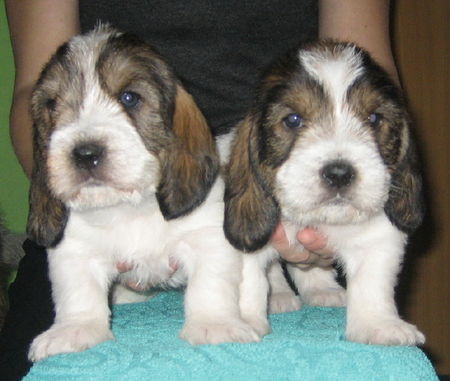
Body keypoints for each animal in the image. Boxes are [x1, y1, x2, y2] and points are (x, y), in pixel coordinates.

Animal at [27, 25, 260, 360]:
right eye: (52, 105)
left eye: (130, 98)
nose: (85, 153)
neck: (131, 209)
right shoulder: (74, 249)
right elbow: (78, 292)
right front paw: (75, 330)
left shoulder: (207, 238)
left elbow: (210, 286)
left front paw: (214, 325)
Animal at [225, 40, 426, 344]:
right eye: (293, 120)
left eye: (374, 118)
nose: (339, 173)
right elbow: (249, 281)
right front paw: (243, 321)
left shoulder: (378, 238)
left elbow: (372, 282)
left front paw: (379, 325)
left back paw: (321, 290)